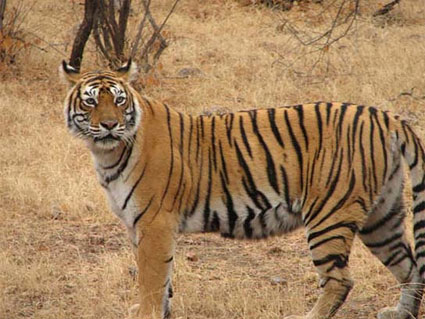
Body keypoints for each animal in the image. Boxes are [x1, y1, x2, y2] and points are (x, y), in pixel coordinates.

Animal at [58, 60, 424, 319]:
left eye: (119, 101)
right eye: (91, 102)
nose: (110, 125)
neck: (107, 152)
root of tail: (385, 116)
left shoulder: (155, 222)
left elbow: (151, 277)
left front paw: (146, 313)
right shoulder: (139, 225)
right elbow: (163, 278)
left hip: (329, 215)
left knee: (340, 280)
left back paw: (306, 316)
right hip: (382, 217)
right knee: (410, 266)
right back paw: (400, 313)